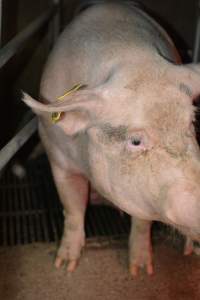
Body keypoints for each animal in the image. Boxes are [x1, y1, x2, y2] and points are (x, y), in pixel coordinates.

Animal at [21, 0, 200, 276]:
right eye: (135, 141)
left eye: (190, 122)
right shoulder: (57, 155)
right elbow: (72, 206)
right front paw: (65, 265)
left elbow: (142, 222)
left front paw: (140, 271)